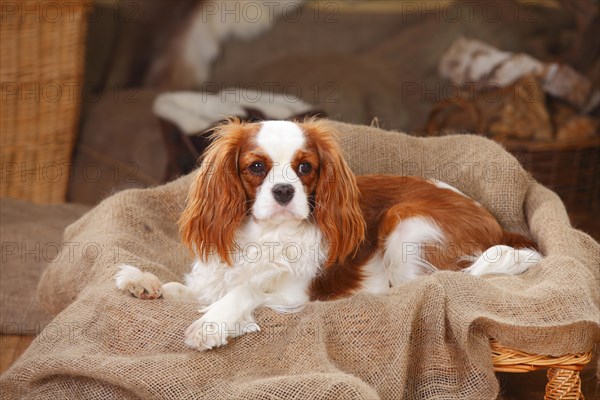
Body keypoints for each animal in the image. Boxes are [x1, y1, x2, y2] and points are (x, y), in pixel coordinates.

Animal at [115, 119, 540, 350]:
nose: (283, 191)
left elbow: (246, 290)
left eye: (305, 168)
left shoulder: (294, 294)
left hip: (406, 223)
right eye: (256, 167)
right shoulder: (214, 277)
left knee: (434, 283)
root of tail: (497, 223)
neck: (267, 236)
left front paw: (211, 324)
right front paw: (144, 282)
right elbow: (184, 289)